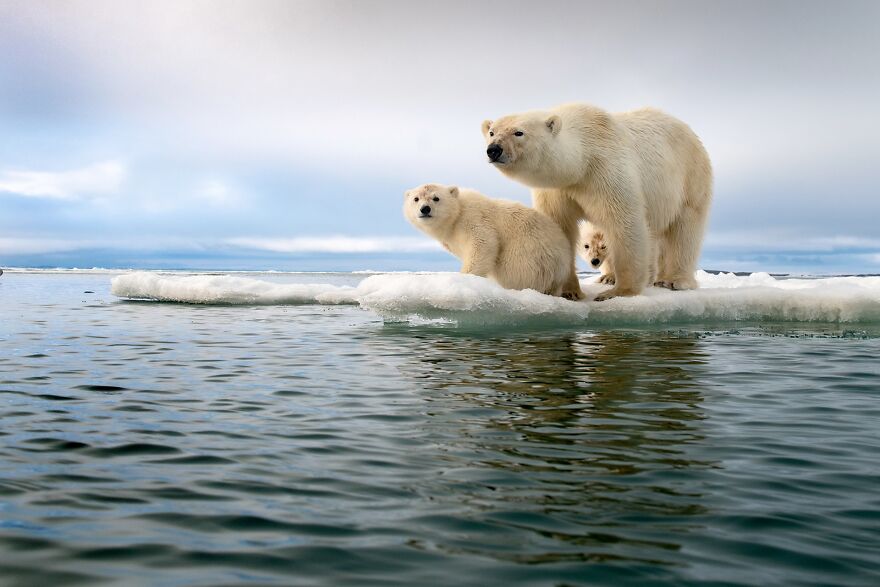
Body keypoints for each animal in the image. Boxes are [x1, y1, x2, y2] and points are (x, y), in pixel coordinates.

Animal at [403, 183, 572, 296]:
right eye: (416, 198)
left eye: (436, 198)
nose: (425, 209)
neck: (455, 217)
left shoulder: (472, 218)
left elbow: (483, 244)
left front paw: (464, 279)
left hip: (529, 256)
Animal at [482, 103, 713, 301]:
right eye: (492, 132)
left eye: (519, 132)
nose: (493, 149)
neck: (581, 161)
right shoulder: (557, 190)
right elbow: (560, 229)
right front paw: (570, 291)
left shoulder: (605, 171)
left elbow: (624, 222)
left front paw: (619, 292)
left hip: (690, 178)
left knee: (685, 228)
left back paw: (674, 281)